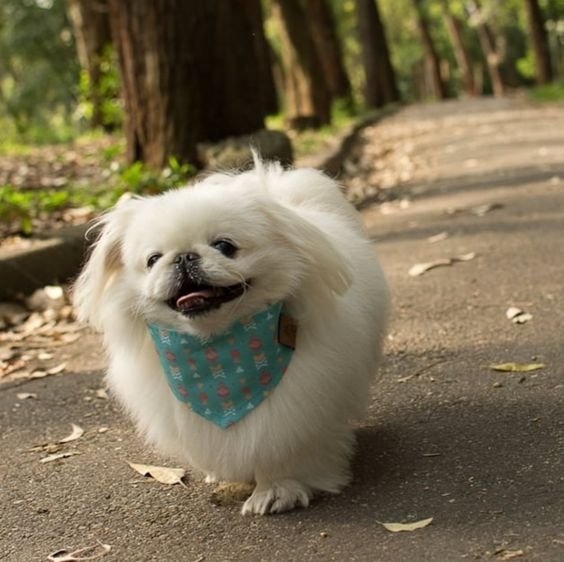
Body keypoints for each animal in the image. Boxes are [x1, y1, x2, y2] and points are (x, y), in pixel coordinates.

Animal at [74, 155, 388, 516]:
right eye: (153, 260)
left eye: (225, 246)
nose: (184, 256)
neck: (219, 354)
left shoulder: (300, 403)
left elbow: (280, 447)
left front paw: (278, 489)